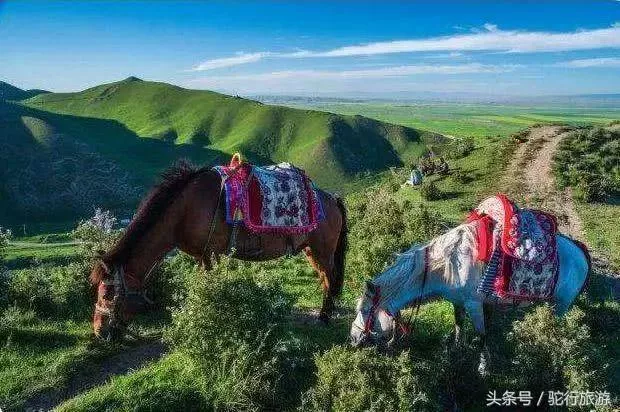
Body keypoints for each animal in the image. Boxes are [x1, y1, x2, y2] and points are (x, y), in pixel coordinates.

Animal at [91, 159, 348, 340]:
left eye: (108, 293)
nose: (98, 331)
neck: (184, 212)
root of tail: (331, 199)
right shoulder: (202, 254)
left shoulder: (209, 252)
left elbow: (208, 281)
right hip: (310, 250)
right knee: (325, 278)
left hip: (323, 250)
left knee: (330, 277)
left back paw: (324, 317)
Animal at [348, 222, 592, 374]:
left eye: (364, 310)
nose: (353, 338)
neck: (447, 267)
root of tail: (580, 250)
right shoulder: (457, 302)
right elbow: (458, 326)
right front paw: (456, 351)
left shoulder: (475, 304)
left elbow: (482, 335)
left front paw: (483, 367)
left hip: (562, 305)